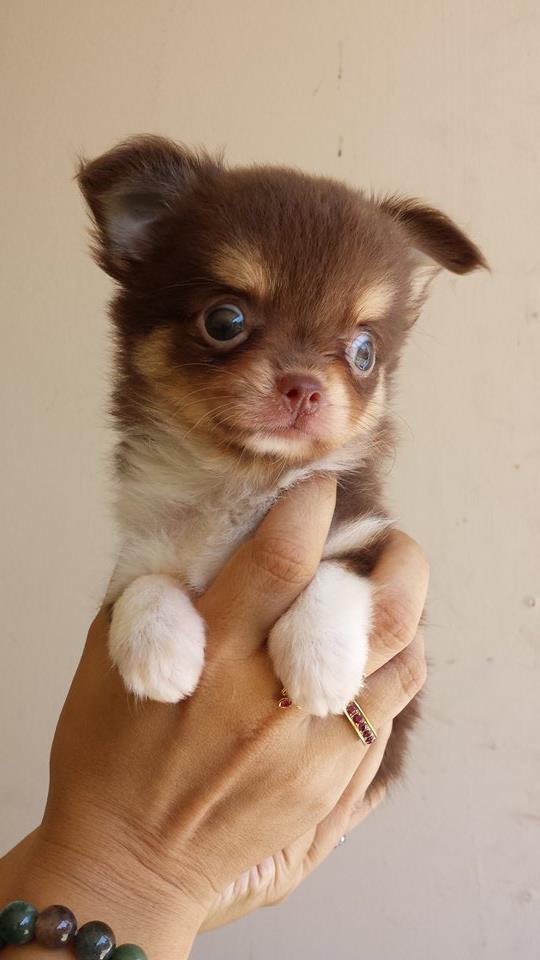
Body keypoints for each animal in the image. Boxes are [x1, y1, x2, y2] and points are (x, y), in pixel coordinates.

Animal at [78, 135, 484, 781]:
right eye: (225, 321)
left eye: (365, 351)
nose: (305, 387)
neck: (242, 478)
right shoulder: (144, 544)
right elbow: (142, 583)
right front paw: (157, 651)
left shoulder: (366, 531)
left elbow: (336, 569)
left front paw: (321, 661)